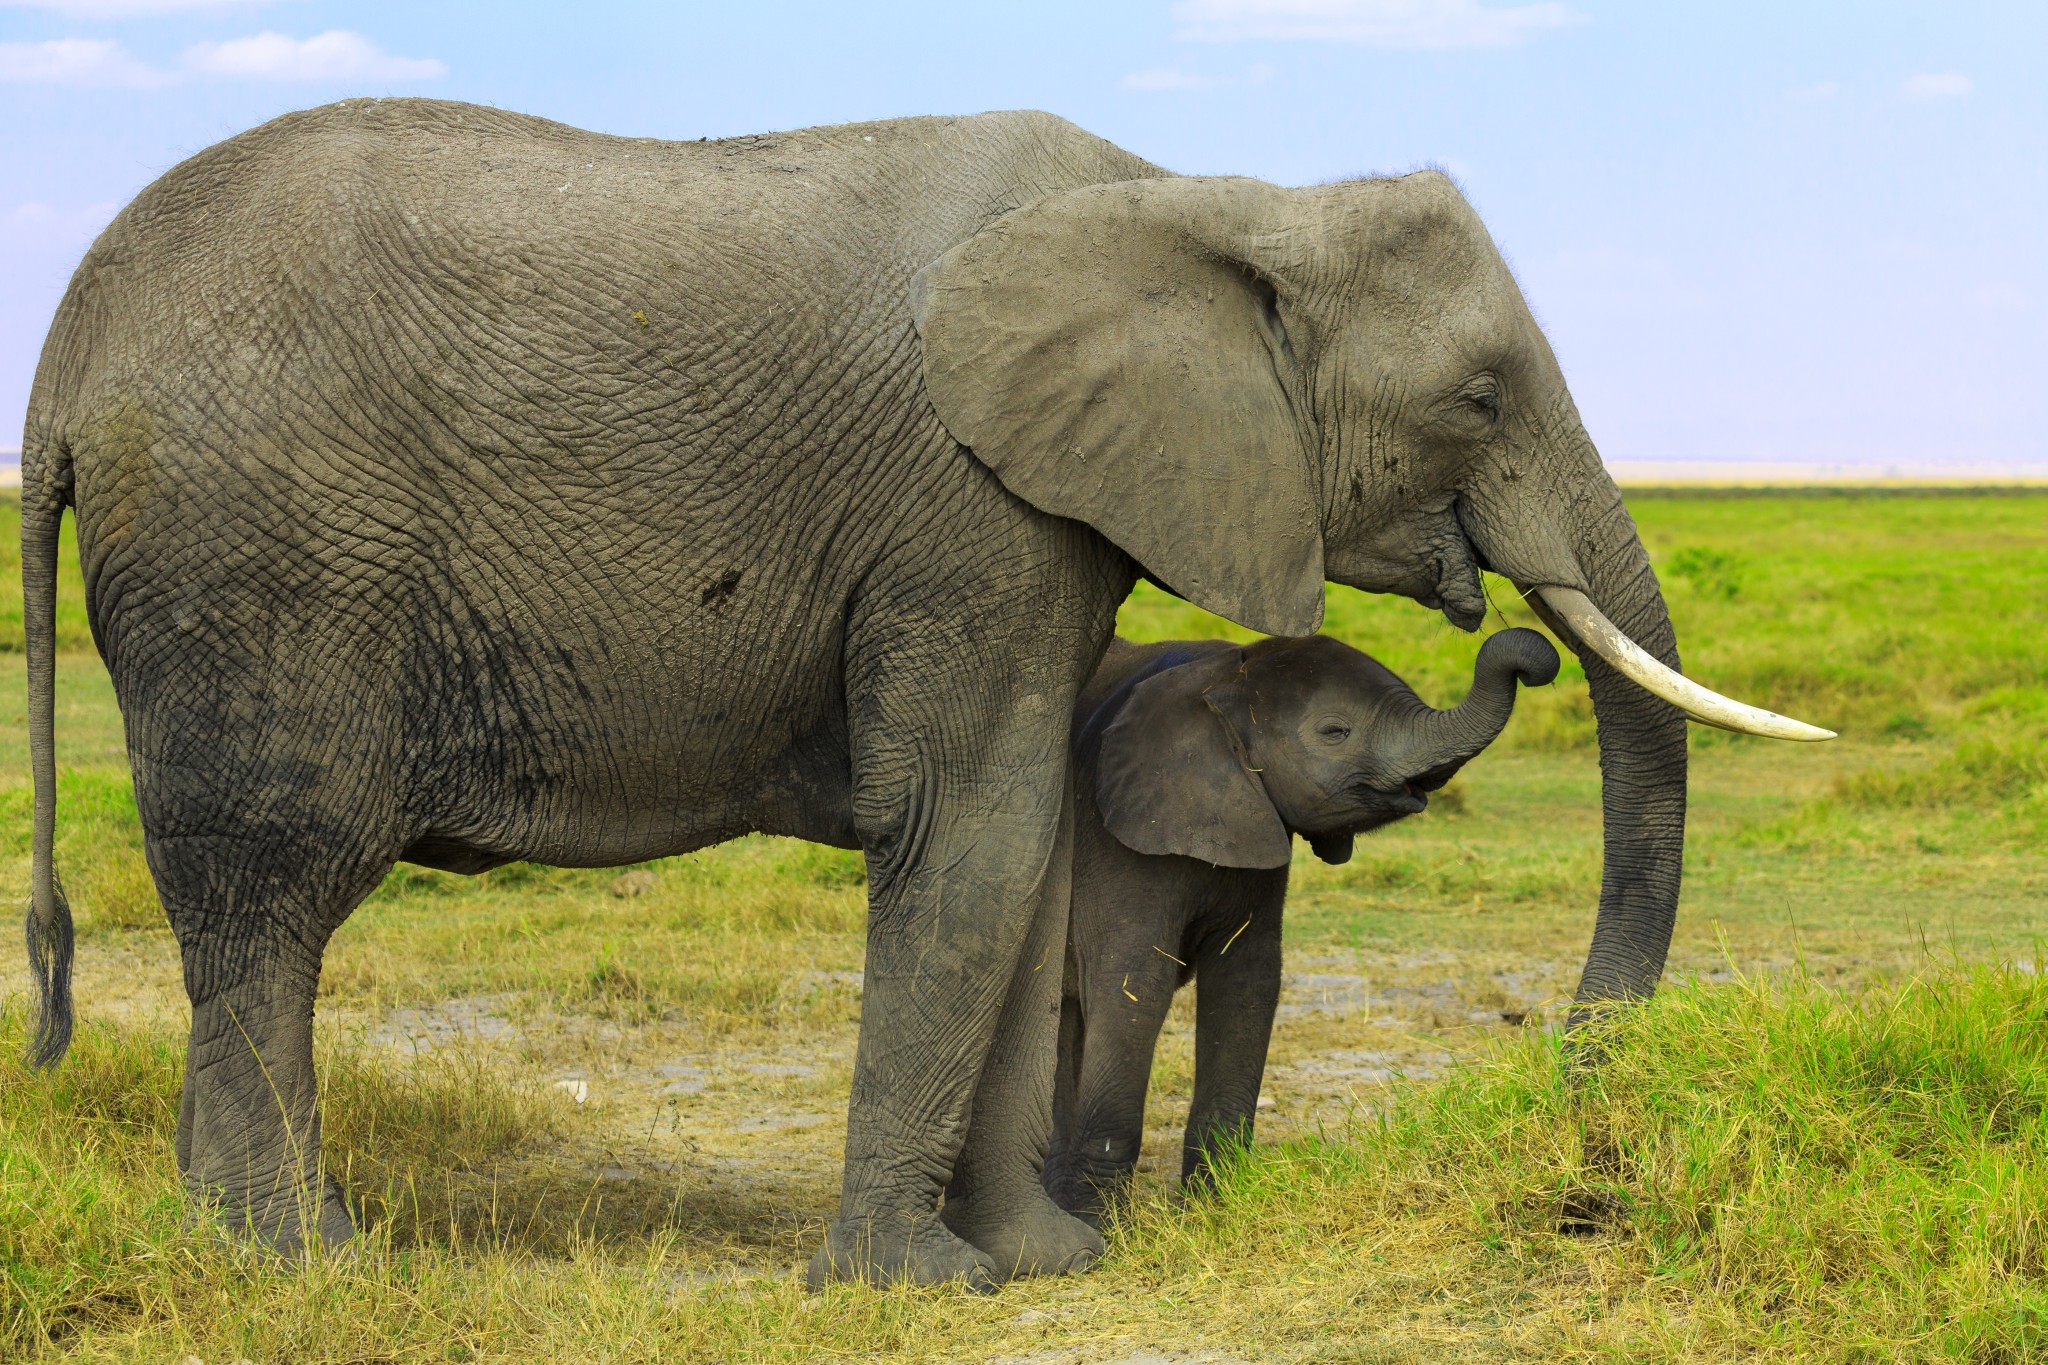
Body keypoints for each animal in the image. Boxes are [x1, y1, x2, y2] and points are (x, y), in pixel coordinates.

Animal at [1043, 628, 1558, 1222]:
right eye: (1335, 732)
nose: (1534, 660)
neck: (1221, 677)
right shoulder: (1117, 841)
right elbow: (1134, 985)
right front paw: (1102, 1227)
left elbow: (1248, 982)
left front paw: (1216, 1213)